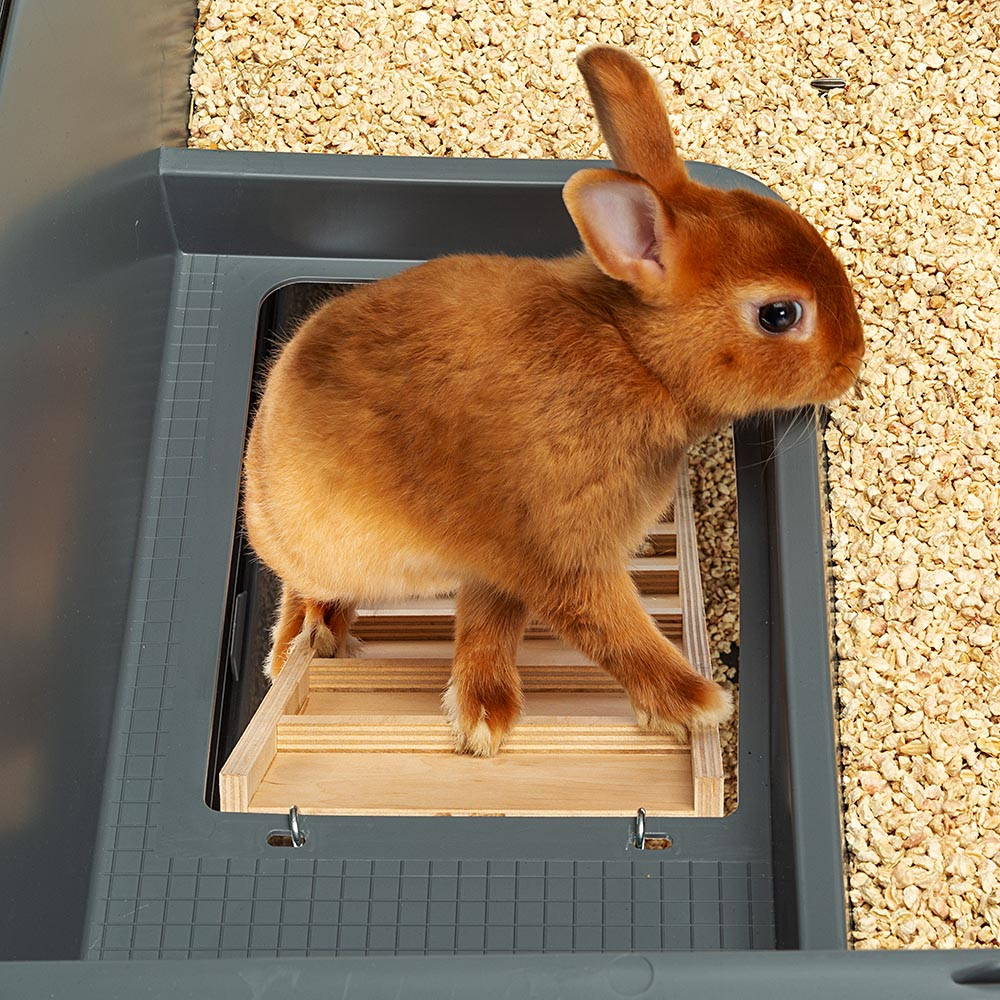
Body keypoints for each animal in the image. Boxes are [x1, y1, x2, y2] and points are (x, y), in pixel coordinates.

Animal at [242, 44, 865, 757]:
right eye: (780, 314)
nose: (853, 360)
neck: (635, 356)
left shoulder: (500, 565)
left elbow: (489, 623)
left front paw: (484, 718)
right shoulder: (557, 551)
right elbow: (610, 628)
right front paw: (697, 705)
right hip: (313, 548)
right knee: (304, 587)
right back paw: (307, 639)